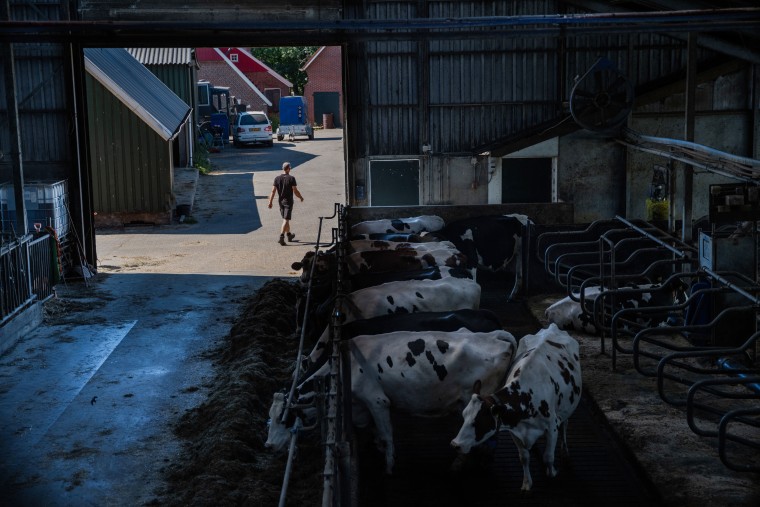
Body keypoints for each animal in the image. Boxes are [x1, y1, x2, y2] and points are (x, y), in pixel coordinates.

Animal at [264, 328, 520, 474]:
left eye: (284, 418)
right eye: (269, 417)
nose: (268, 445)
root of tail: (492, 335)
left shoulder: (377, 400)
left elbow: (386, 434)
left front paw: (388, 465)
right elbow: (378, 432)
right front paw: (378, 446)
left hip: (477, 399)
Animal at [452, 324, 580, 494]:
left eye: (478, 422)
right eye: (464, 416)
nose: (455, 444)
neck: (526, 396)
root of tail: (552, 327)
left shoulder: (552, 426)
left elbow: (548, 457)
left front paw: (552, 472)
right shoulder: (515, 430)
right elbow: (524, 457)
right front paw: (527, 483)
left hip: (567, 406)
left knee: (565, 424)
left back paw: (565, 451)